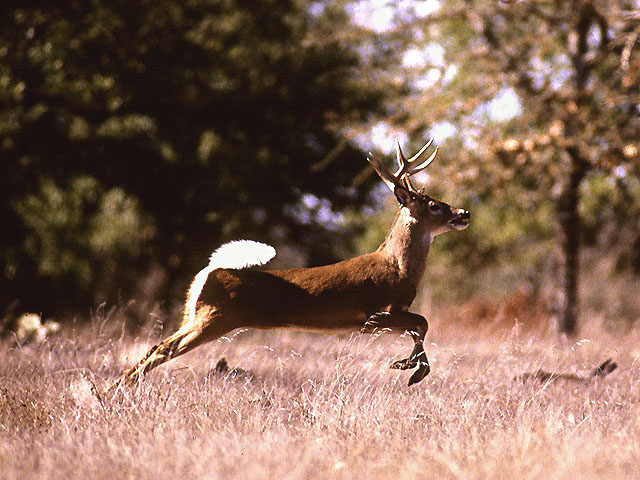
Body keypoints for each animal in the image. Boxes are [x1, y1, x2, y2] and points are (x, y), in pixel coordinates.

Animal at [111, 139, 470, 390]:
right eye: (434, 205)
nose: (464, 213)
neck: (398, 268)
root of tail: (210, 272)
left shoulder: (391, 314)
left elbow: (419, 327)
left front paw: (407, 365)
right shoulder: (378, 312)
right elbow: (423, 322)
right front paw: (412, 370)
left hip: (195, 316)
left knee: (156, 345)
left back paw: (114, 390)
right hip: (214, 318)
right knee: (162, 348)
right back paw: (114, 392)